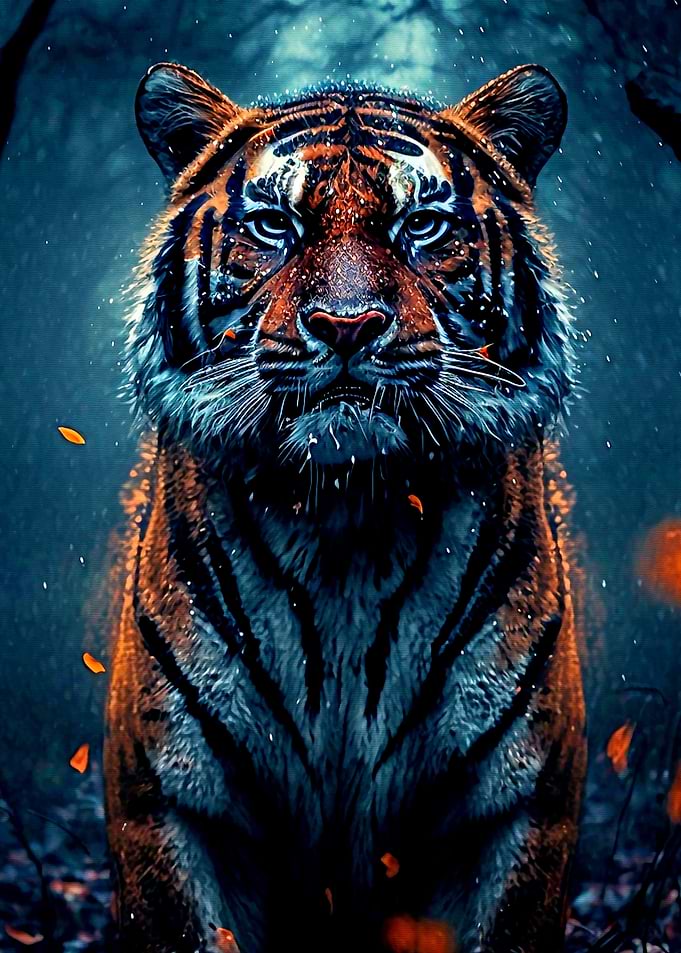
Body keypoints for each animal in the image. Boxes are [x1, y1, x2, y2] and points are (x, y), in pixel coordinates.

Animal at [104, 61, 587, 953]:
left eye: (421, 226)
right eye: (274, 225)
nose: (346, 324)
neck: (346, 521)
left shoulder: (518, 810)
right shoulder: (168, 801)